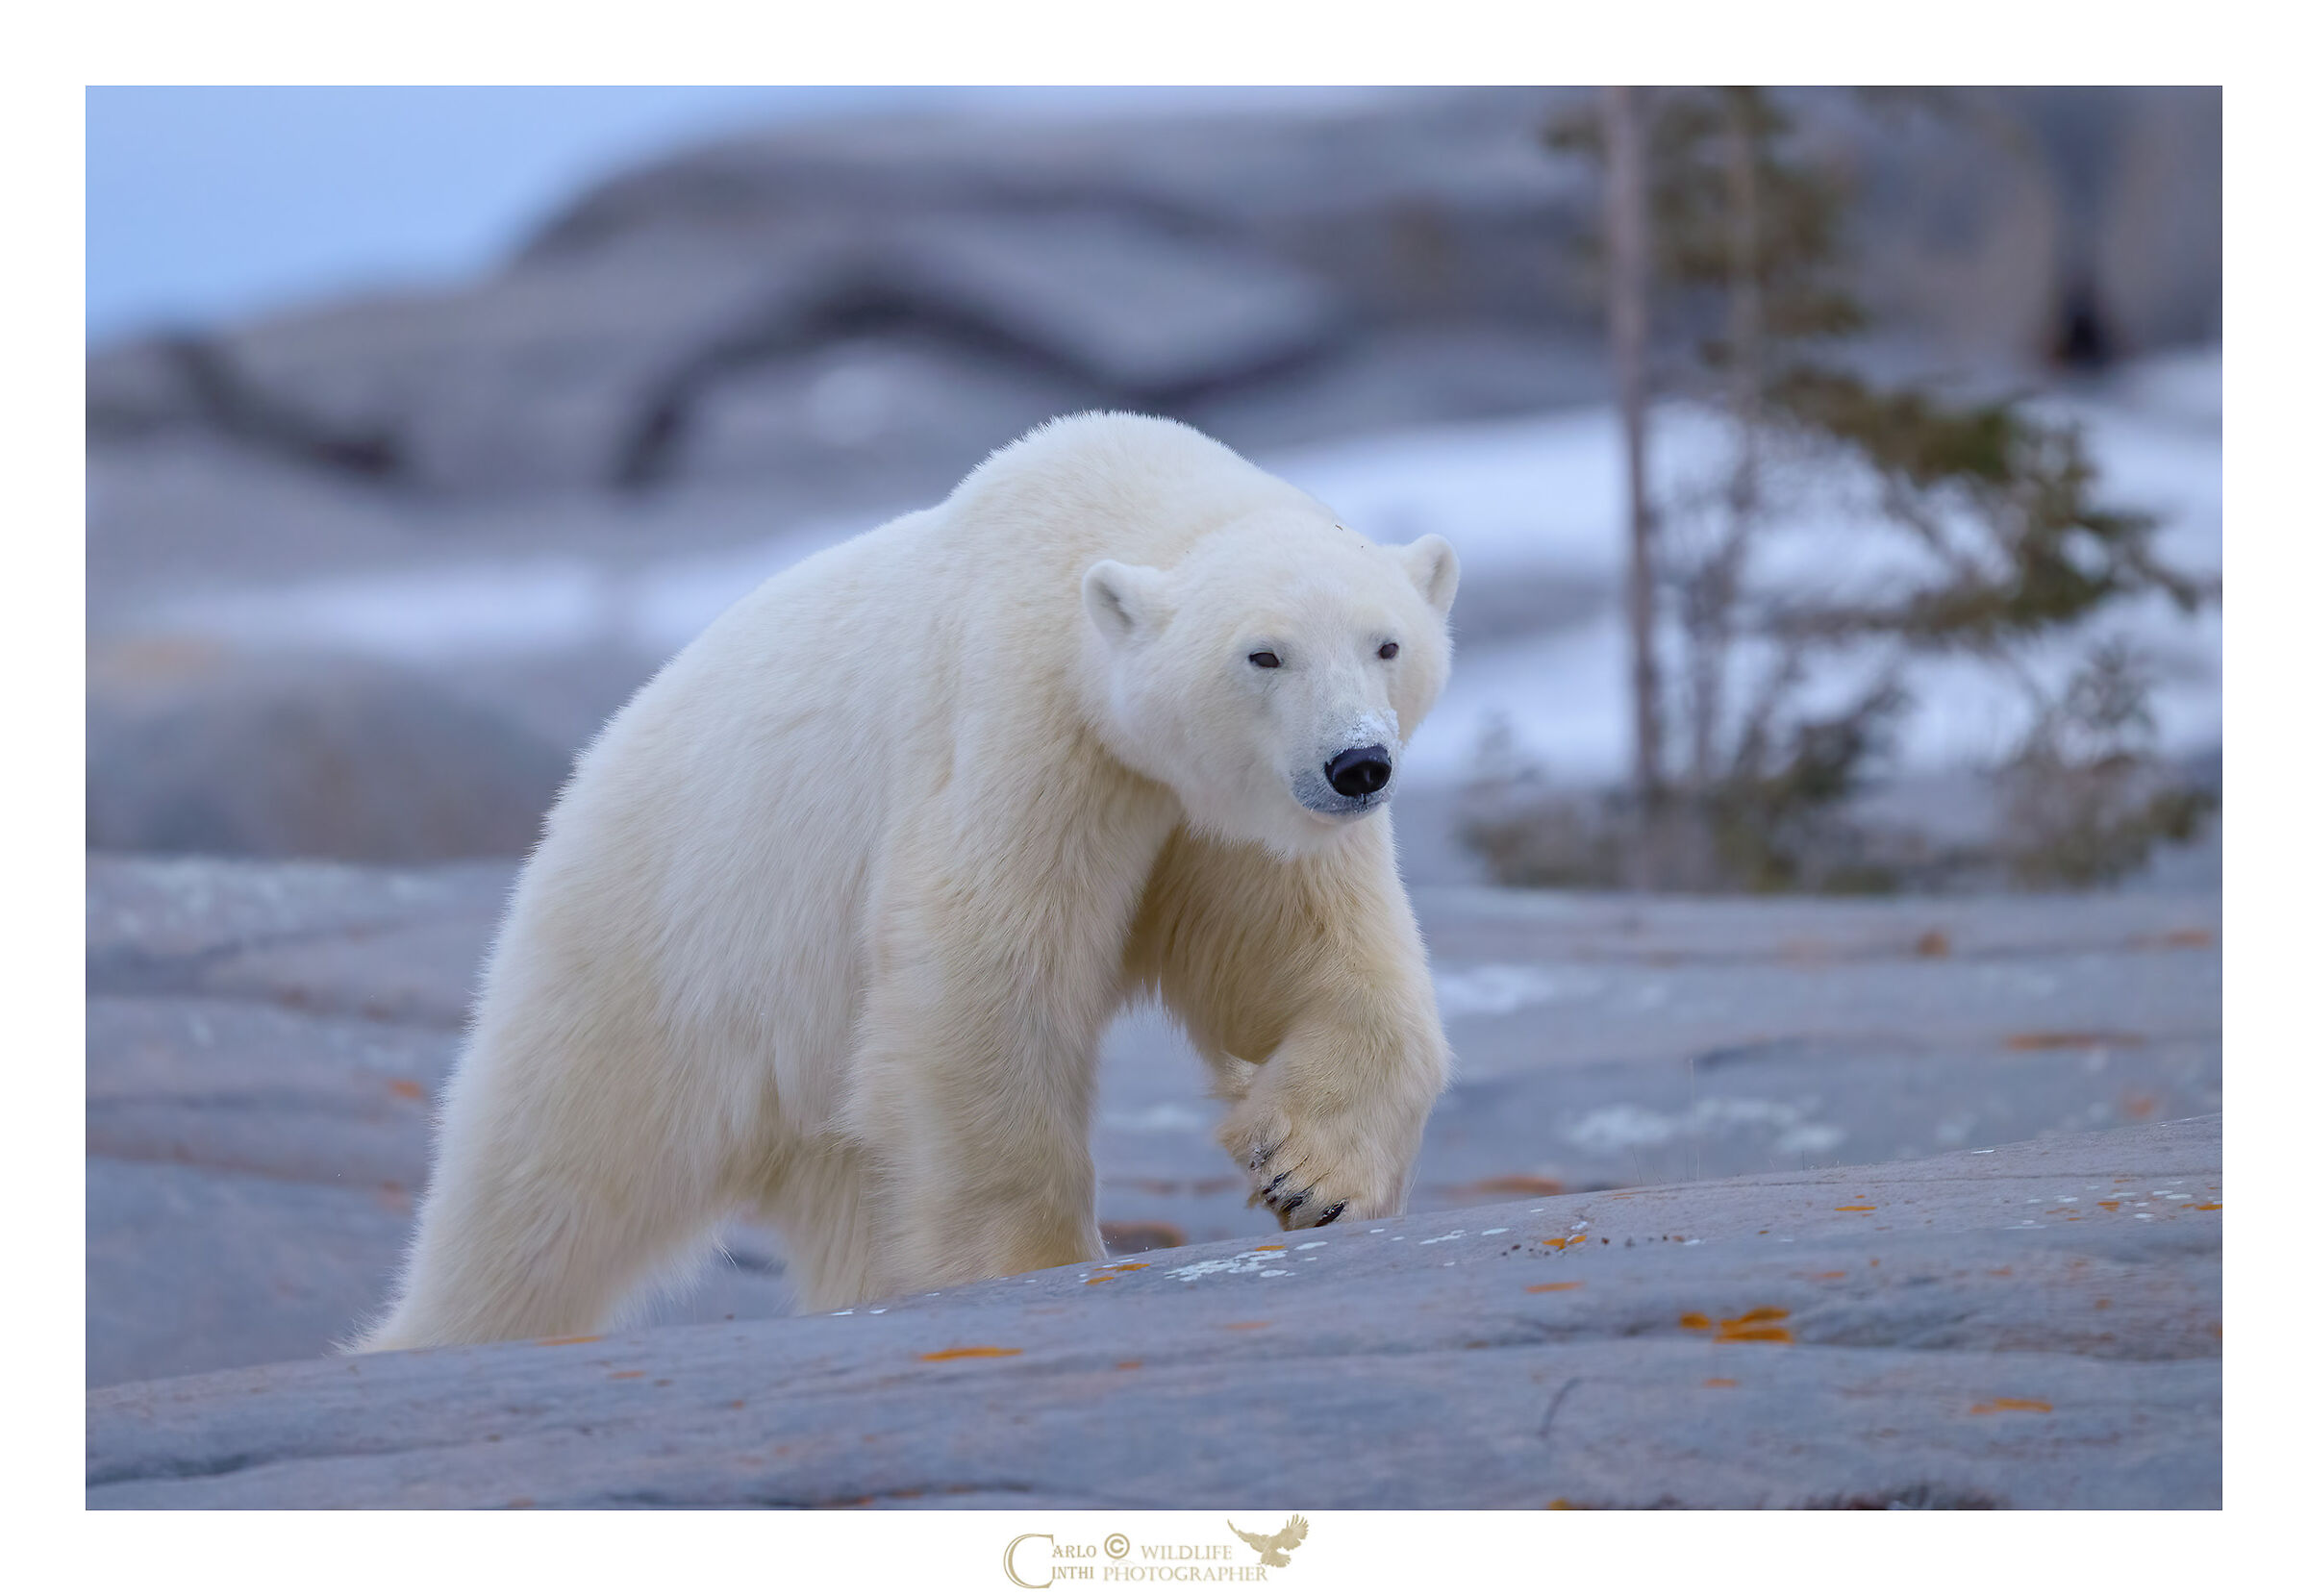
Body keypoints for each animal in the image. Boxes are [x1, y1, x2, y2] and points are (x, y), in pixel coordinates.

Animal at [354, 411, 1458, 1350]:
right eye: (1262, 654)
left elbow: (1306, 958)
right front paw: (1035, 1262)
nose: (1358, 764)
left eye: (1387, 643)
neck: (1108, 507)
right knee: (544, 1189)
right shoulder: (1021, 723)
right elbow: (987, 968)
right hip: (646, 952)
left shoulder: (1222, 818)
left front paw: (1311, 1175)